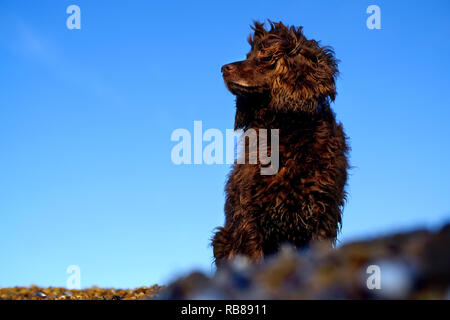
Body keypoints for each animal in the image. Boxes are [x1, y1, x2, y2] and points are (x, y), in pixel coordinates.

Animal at [213, 21, 350, 264]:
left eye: (263, 53)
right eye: (248, 54)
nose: (223, 68)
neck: (285, 129)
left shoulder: (324, 211)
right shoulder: (249, 211)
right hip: (222, 238)